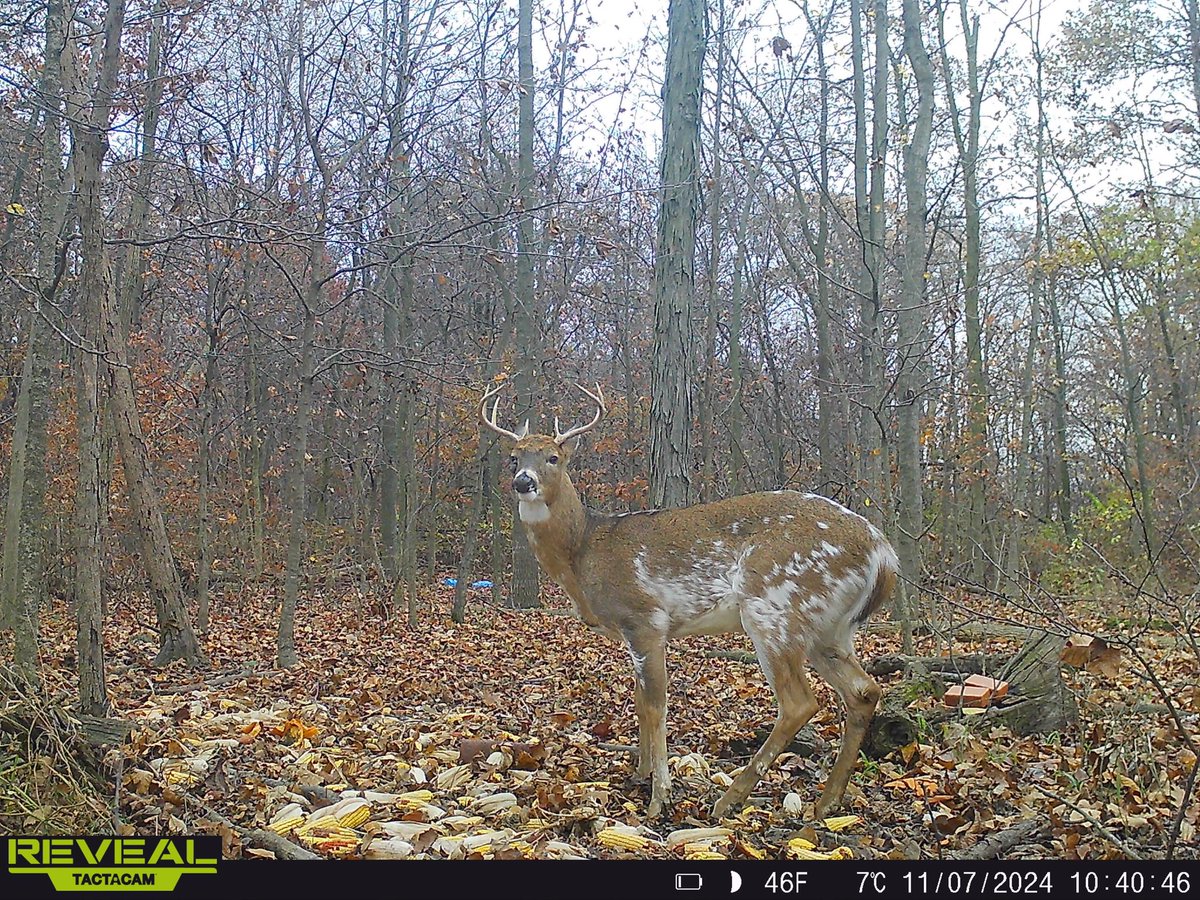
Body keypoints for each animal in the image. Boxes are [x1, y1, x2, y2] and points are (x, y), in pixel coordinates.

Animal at [479, 381, 898, 820]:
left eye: (553, 458)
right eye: (513, 458)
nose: (522, 482)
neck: (584, 551)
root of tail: (883, 551)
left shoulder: (645, 617)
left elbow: (656, 705)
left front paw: (658, 796)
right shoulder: (633, 633)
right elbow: (639, 700)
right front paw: (640, 773)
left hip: (776, 606)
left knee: (800, 702)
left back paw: (729, 799)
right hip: (829, 628)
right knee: (864, 690)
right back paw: (827, 801)